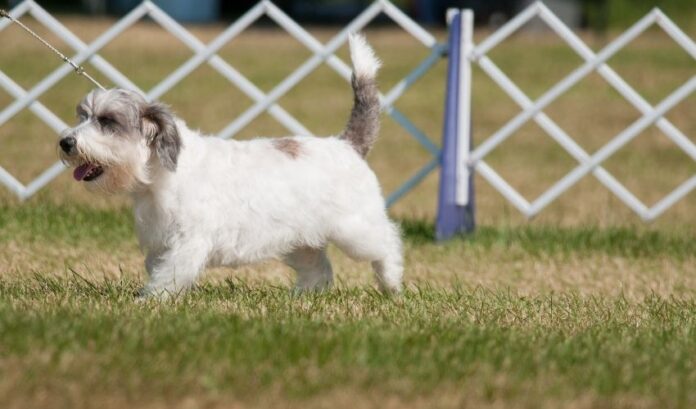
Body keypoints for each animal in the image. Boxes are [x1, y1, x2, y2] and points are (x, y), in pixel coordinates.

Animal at [58, 34, 402, 296]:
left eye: (107, 121)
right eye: (82, 116)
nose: (66, 142)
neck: (160, 178)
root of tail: (346, 144)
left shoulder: (188, 242)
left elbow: (171, 274)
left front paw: (149, 301)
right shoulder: (160, 243)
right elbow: (160, 268)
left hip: (357, 229)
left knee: (388, 244)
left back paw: (392, 284)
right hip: (302, 239)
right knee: (319, 268)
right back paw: (304, 297)